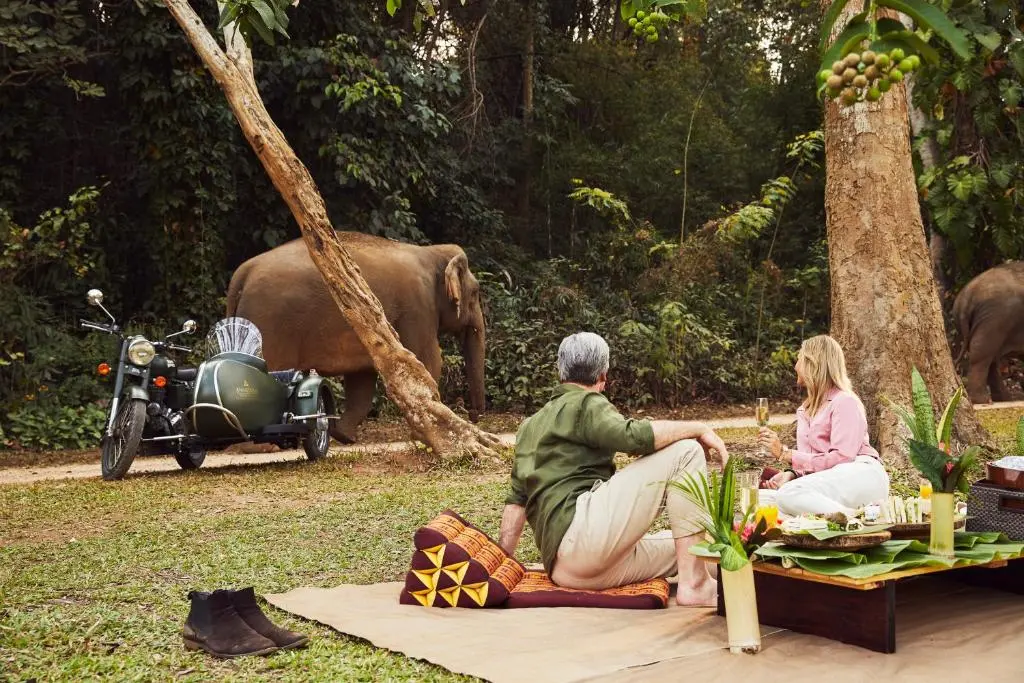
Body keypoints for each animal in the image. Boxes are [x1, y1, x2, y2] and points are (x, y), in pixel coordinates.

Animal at [226, 231, 485, 444]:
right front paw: (423, 434)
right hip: (269, 322)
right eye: (475, 292)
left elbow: (363, 378)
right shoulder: (417, 308)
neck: (430, 251)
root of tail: (242, 272)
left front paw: (343, 436)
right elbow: (427, 362)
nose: (473, 415)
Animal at [950, 259, 1024, 403]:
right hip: (994, 319)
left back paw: (1003, 399)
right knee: (982, 355)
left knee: (990, 358)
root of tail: (966, 296)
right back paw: (982, 400)